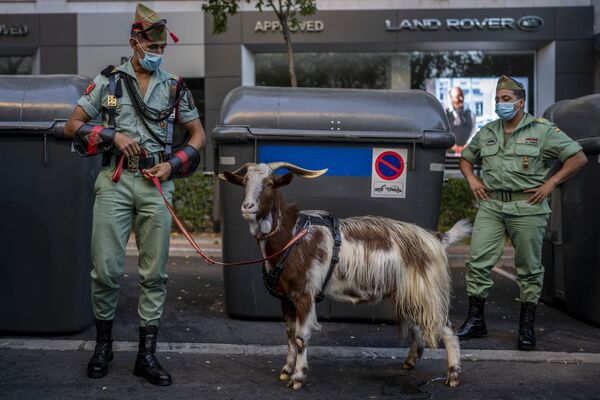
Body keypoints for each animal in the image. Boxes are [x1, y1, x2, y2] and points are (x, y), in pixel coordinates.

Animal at [220, 161, 468, 390]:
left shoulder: (304, 294)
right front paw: (286, 370)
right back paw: (410, 362)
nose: (247, 207)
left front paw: (298, 378)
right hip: (408, 292)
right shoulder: (286, 298)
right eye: (244, 182)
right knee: (418, 325)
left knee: (447, 328)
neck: (291, 237)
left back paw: (453, 376)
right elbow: (289, 335)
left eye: (270, 183)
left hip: (427, 290)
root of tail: (437, 238)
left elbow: (301, 338)